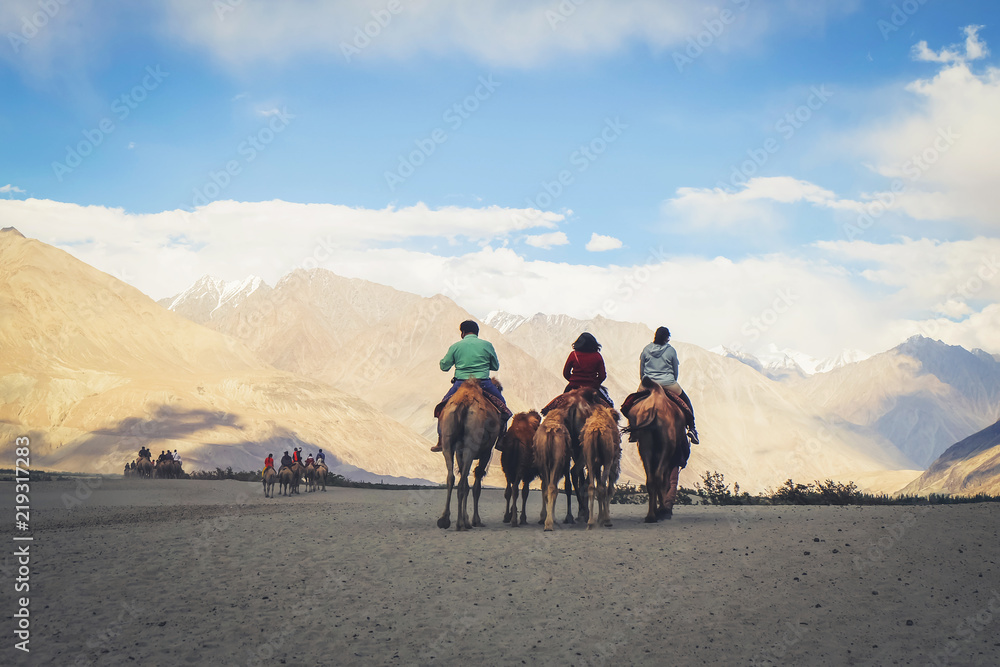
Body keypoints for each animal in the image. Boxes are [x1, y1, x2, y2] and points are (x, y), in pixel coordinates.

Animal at [438, 378, 504, 528]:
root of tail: (464, 402)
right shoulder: (486, 452)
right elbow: (476, 486)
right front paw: (475, 520)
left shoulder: (459, 451)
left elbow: (466, 480)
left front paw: (467, 518)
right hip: (471, 446)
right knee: (463, 483)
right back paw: (460, 523)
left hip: (448, 444)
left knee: (452, 478)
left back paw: (445, 520)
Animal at [624, 378, 688, 524]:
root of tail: (653, 407)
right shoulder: (670, 460)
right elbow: (666, 482)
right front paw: (662, 510)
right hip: (667, 446)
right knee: (659, 477)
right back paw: (662, 510)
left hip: (645, 445)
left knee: (650, 479)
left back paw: (651, 516)